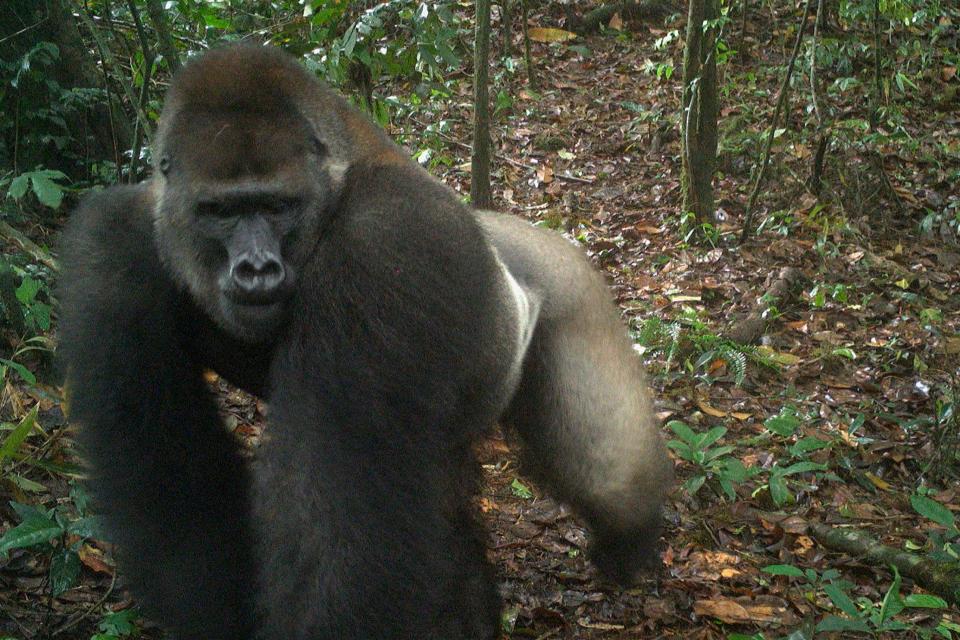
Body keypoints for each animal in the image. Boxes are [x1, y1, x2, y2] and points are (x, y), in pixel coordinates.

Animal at [58, 45, 676, 640]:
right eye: (219, 211)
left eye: (277, 206)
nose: (256, 269)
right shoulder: (110, 245)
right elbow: (170, 483)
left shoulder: (385, 244)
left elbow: (344, 532)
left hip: (572, 286)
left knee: (606, 475)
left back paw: (631, 536)